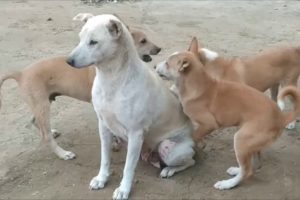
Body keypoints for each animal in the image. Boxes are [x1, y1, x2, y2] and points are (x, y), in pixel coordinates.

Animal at [0, 12, 162, 161]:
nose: (159, 48)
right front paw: (115, 142)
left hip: (43, 103)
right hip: (42, 105)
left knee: (35, 122)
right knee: (45, 135)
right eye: (143, 41)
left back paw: (52, 131)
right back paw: (63, 153)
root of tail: (21, 73)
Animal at [66, 14, 195, 200]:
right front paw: (101, 179)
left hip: (170, 149)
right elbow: (105, 158)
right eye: (80, 39)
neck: (111, 78)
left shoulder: (135, 133)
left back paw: (169, 170)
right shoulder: (103, 126)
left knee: (191, 161)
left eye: (93, 42)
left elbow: (128, 168)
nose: (68, 61)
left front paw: (123, 189)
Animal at [156, 38, 300, 191]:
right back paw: (236, 170)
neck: (200, 84)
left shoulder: (209, 124)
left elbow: (193, 137)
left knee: (247, 171)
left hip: (242, 138)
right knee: (254, 164)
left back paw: (227, 184)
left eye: (167, 63)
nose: (154, 65)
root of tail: (280, 117)